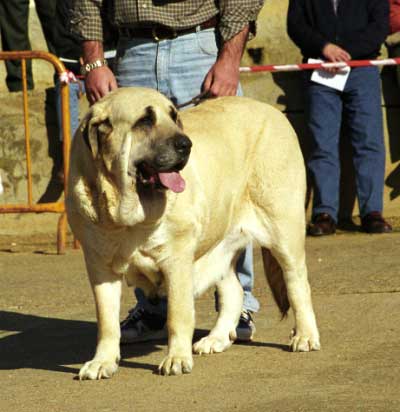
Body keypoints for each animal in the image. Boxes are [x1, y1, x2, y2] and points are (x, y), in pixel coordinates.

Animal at [67, 87, 320, 380]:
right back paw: (216, 339)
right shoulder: (101, 267)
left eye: (174, 116)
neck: (126, 217)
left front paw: (176, 359)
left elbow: (177, 315)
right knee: (233, 291)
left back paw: (305, 336)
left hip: (284, 232)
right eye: (145, 121)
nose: (185, 144)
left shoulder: (176, 260)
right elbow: (107, 323)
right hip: (219, 248)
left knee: (297, 284)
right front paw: (102, 362)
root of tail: (275, 113)